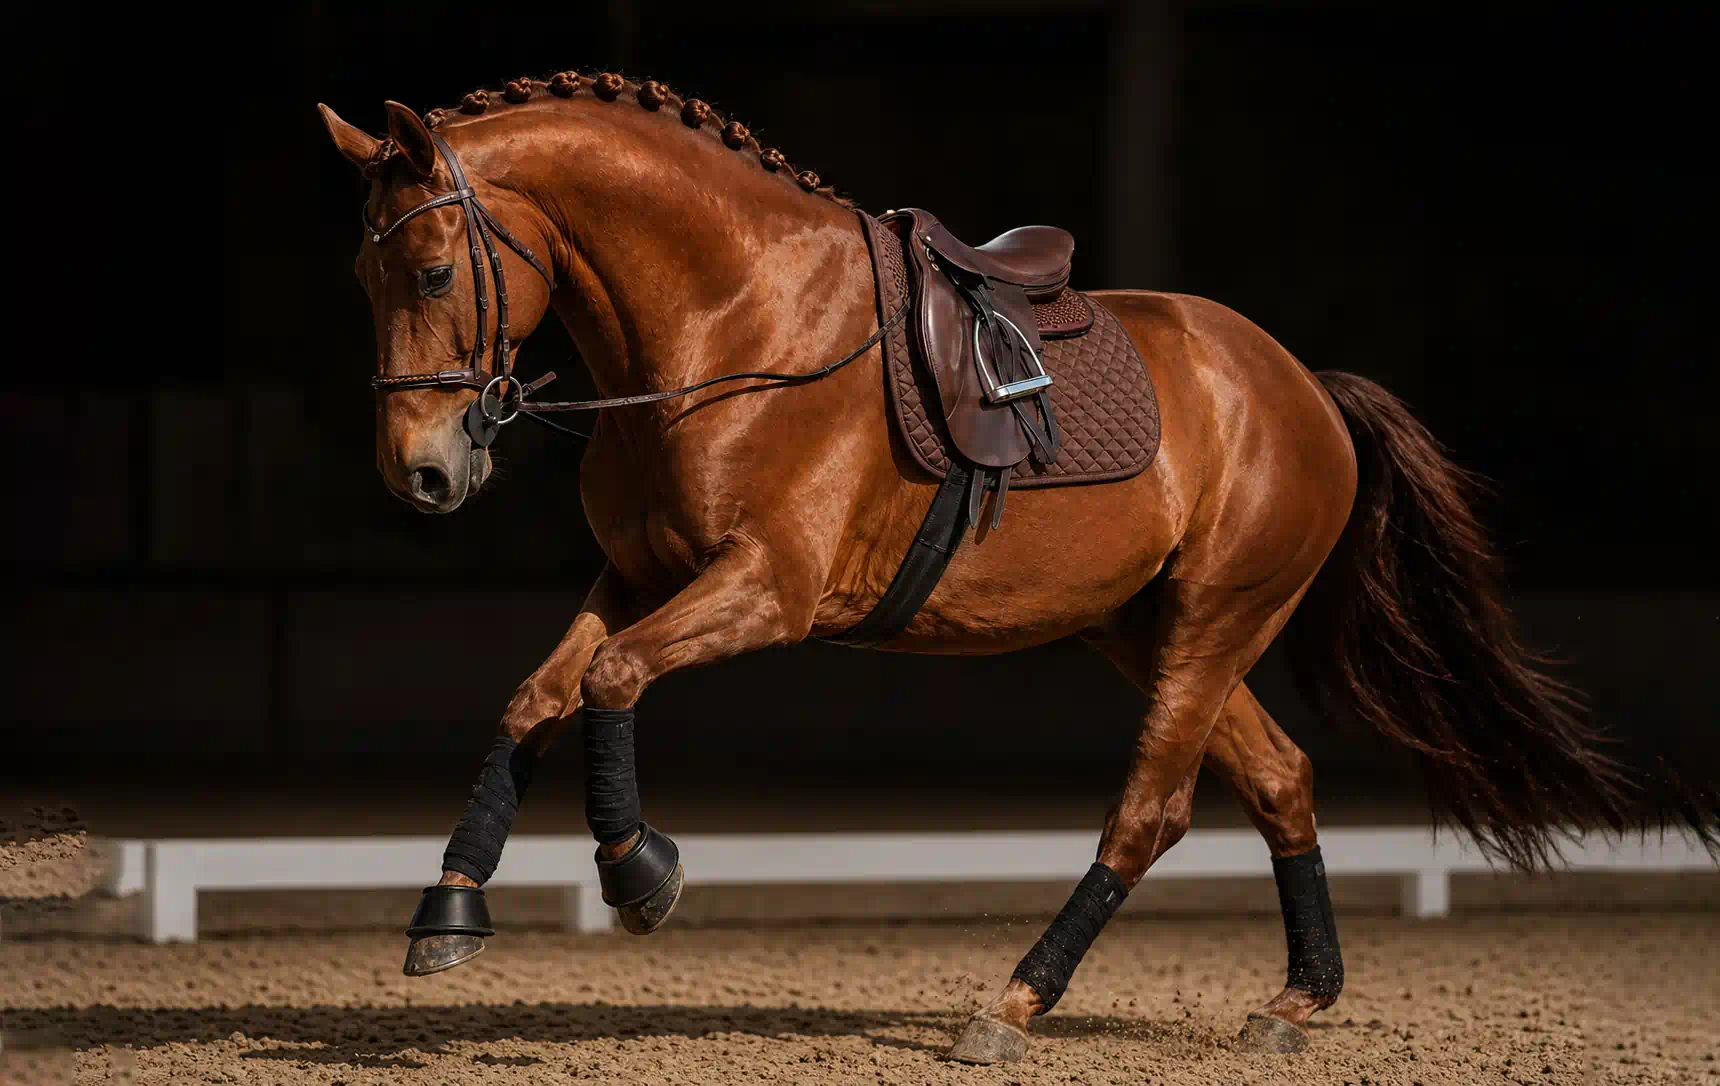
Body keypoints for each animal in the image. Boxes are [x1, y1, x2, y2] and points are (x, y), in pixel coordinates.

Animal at [315, 71, 1703, 1065]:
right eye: (363, 276)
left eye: (432, 269)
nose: (422, 474)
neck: (733, 321)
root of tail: (1304, 387)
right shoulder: (644, 577)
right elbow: (539, 695)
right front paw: (448, 910)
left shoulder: (766, 588)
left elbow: (607, 683)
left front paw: (638, 873)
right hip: (1148, 629)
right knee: (1278, 779)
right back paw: (1297, 1000)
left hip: (1215, 621)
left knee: (1150, 812)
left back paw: (1015, 1003)